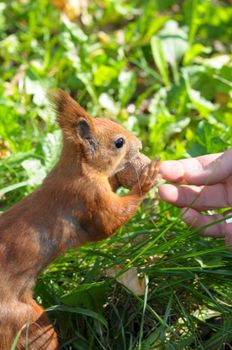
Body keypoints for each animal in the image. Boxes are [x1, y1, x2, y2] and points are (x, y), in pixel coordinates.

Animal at [0, 91, 160, 350]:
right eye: (119, 143)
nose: (140, 144)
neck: (75, 170)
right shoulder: (89, 196)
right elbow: (109, 223)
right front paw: (146, 179)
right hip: (25, 321)